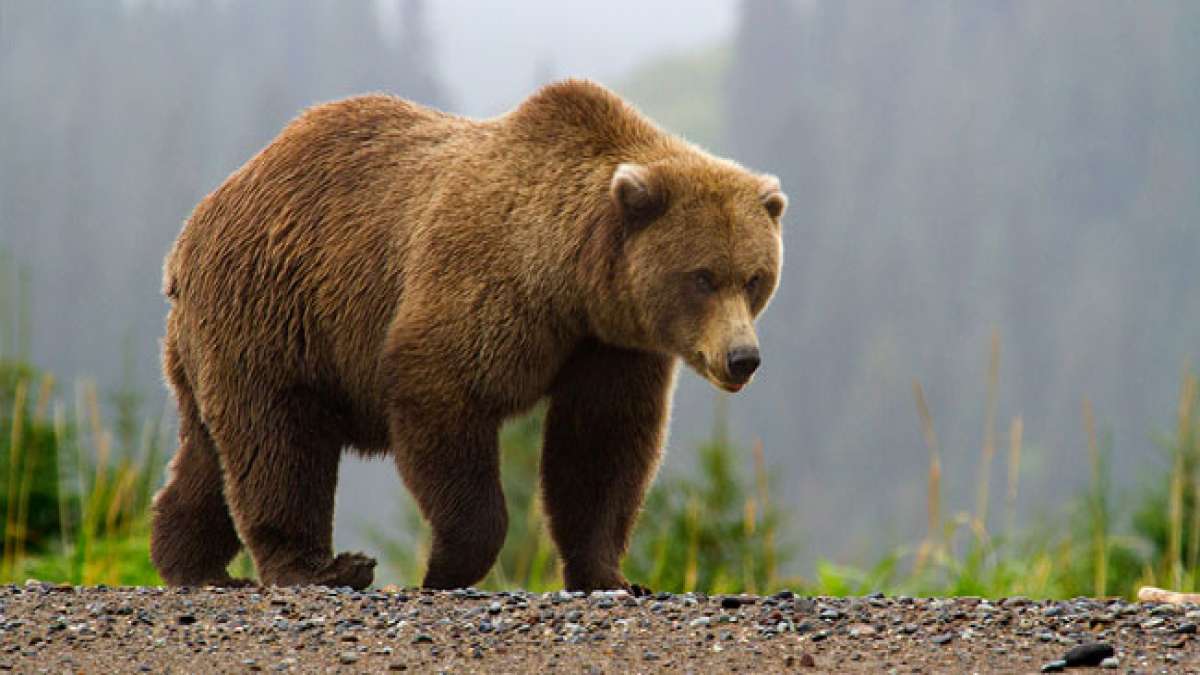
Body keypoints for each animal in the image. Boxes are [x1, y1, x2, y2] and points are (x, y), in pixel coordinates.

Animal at [149, 79, 786, 592]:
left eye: (755, 277)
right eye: (702, 276)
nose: (742, 358)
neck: (572, 279)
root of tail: (192, 229)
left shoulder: (610, 346)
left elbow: (601, 447)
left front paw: (611, 576)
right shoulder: (484, 286)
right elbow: (444, 396)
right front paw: (445, 567)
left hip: (218, 339)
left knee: (210, 453)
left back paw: (191, 562)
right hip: (275, 309)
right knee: (278, 441)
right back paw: (322, 568)